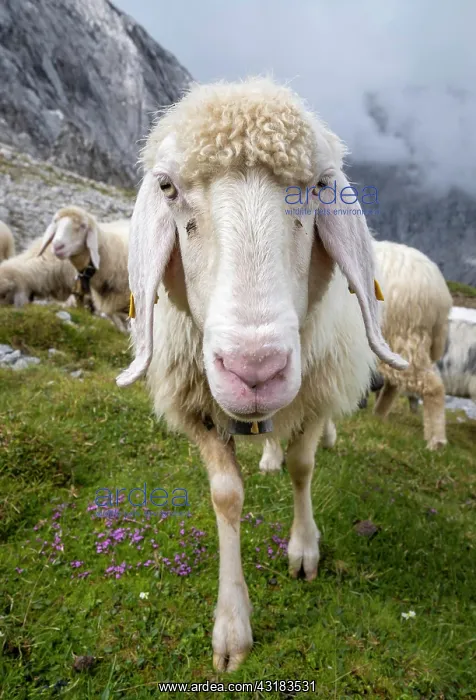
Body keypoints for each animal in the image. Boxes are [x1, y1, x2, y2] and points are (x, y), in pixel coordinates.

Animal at [115, 77, 408, 671]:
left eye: (321, 186)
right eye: (167, 187)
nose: (255, 369)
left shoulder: (315, 394)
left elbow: (303, 465)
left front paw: (304, 548)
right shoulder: (200, 410)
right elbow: (227, 496)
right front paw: (232, 626)